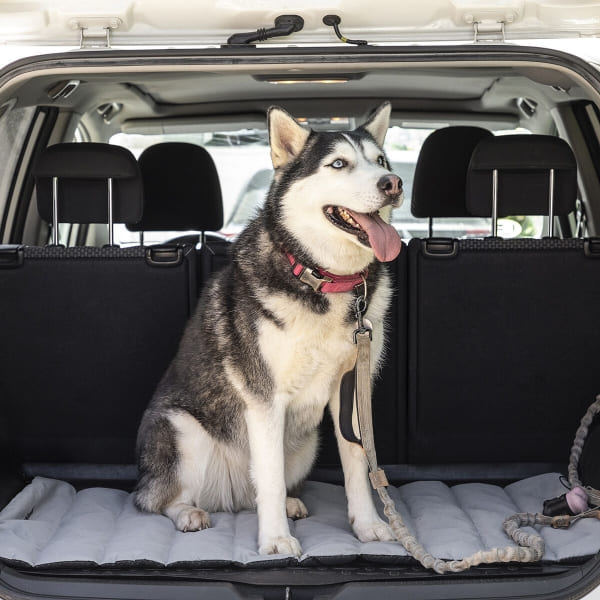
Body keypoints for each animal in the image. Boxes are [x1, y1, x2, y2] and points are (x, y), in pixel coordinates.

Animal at [136, 103, 404, 556]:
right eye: (338, 164)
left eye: (381, 161)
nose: (393, 183)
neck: (326, 280)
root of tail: (230, 493)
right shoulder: (264, 398)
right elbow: (272, 481)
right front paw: (276, 540)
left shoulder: (350, 391)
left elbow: (357, 466)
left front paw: (368, 526)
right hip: (182, 431)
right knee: (159, 499)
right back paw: (189, 513)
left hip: (305, 443)